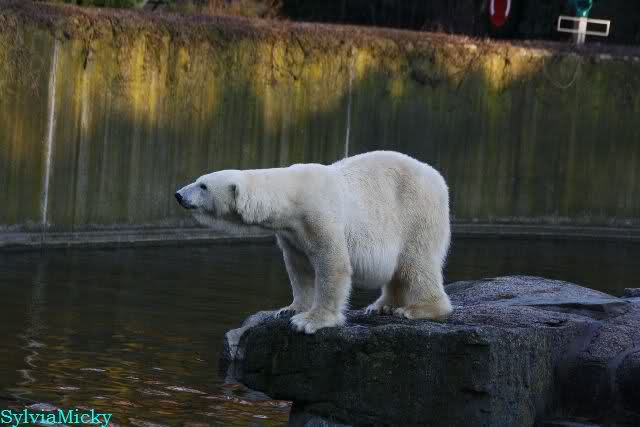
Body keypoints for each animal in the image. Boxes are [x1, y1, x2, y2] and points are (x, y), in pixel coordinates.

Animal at [175, 150, 452, 334]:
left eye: (203, 185)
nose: (178, 195)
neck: (293, 195)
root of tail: (438, 178)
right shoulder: (291, 233)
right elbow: (299, 268)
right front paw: (290, 309)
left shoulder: (319, 215)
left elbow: (333, 264)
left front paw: (310, 321)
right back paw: (381, 306)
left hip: (416, 213)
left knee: (417, 263)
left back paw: (418, 309)